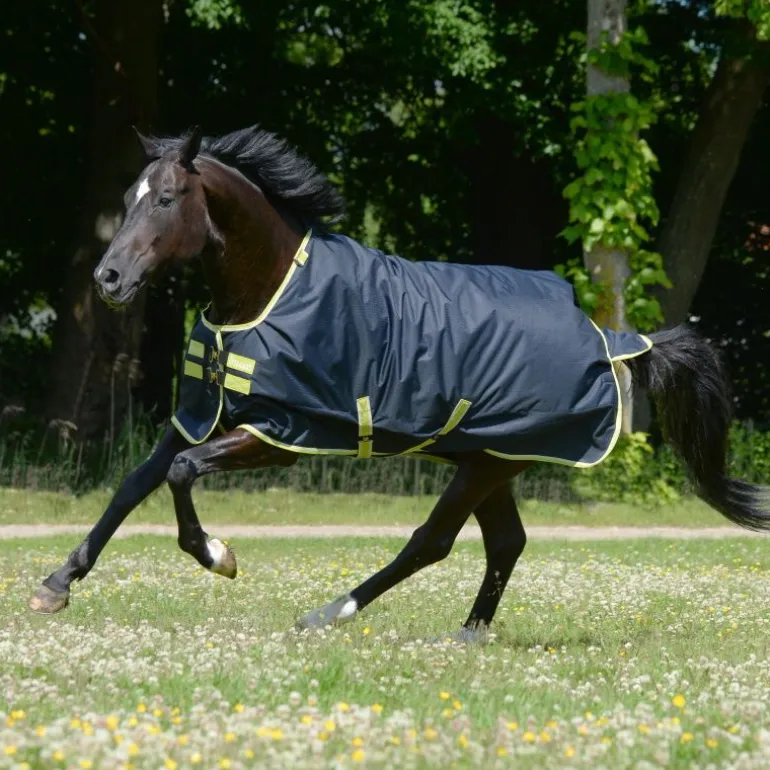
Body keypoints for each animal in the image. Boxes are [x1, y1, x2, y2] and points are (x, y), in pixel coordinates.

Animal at [29, 126, 770, 641]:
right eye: (128, 199)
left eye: (167, 198)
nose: (110, 279)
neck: (266, 294)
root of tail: (611, 343)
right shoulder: (201, 413)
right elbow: (136, 482)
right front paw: (56, 584)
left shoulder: (281, 435)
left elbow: (182, 475)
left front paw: (219, 555)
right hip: (488, 459)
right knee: (505, 543)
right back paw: (468, 635)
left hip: (488, 463)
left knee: (431, 542)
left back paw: (329, 613)